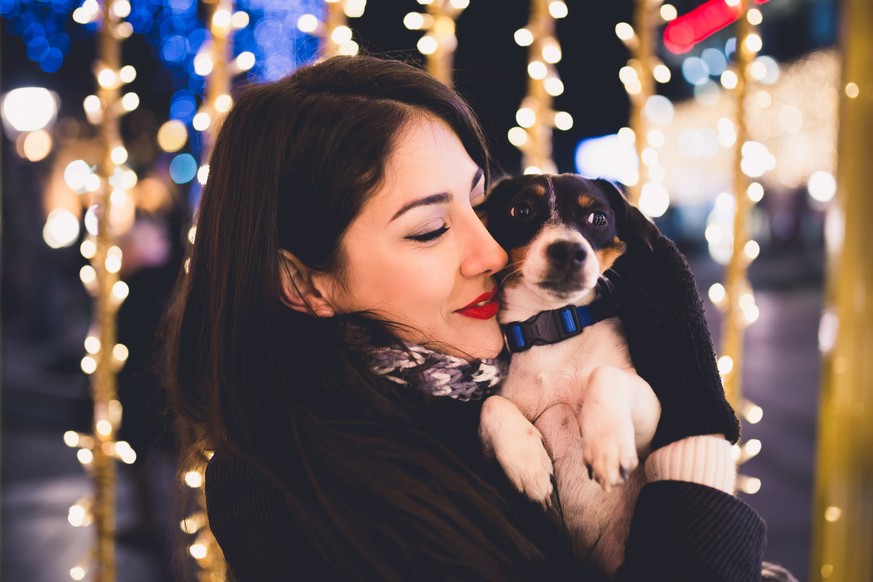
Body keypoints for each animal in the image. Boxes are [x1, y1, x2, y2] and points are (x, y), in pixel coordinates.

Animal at [476, 172, 660, 576]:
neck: (554, 326)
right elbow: (490, 406)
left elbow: (604, 374)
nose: (568, 251)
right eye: (521, 210)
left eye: (598, 218)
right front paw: (528, 464)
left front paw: (606, 443)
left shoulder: (651, 421)